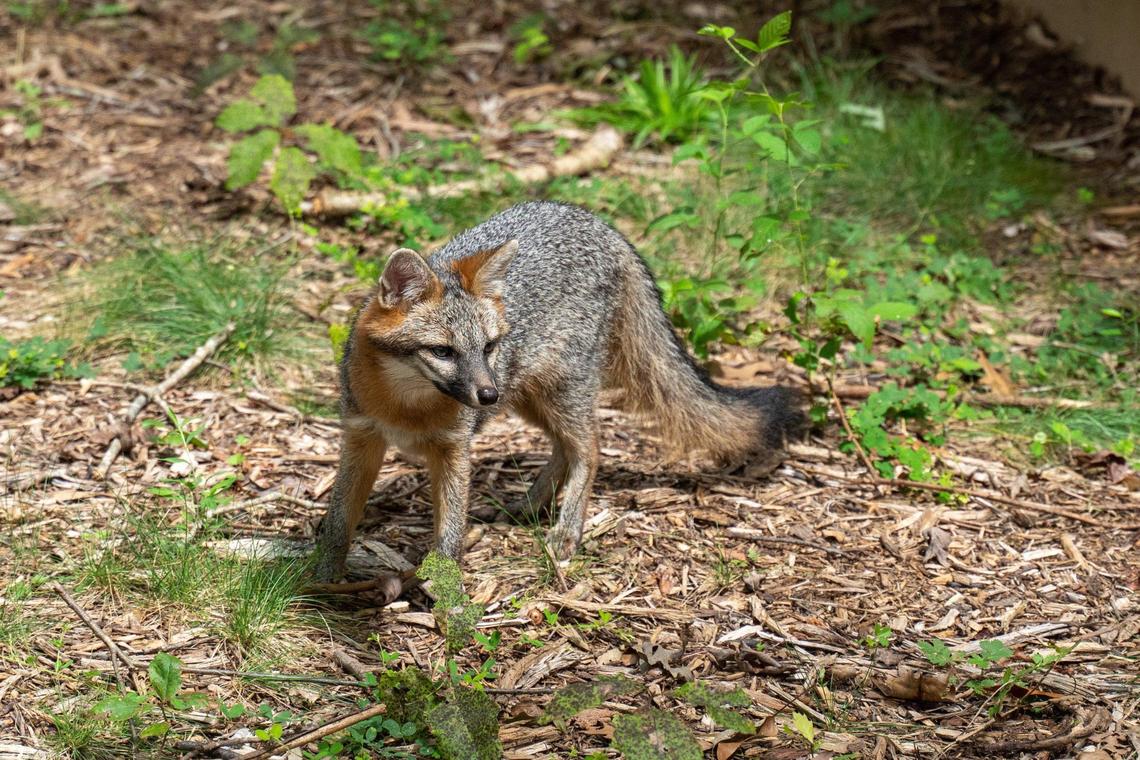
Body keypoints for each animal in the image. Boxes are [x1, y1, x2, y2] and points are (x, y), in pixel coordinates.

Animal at [313, 201, 803, 582]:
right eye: (443, 351)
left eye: (488, 346)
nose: (486, 395)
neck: (405, 407)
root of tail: (598, 223)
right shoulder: (361, 437)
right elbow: (339, 519)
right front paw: (322, 572)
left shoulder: (453, 448)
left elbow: (449, 531)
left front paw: (445, 584)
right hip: (528, 397)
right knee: (563, 448)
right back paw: (527, 507)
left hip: (553, 393)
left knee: (590, 448)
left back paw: (568, 527)